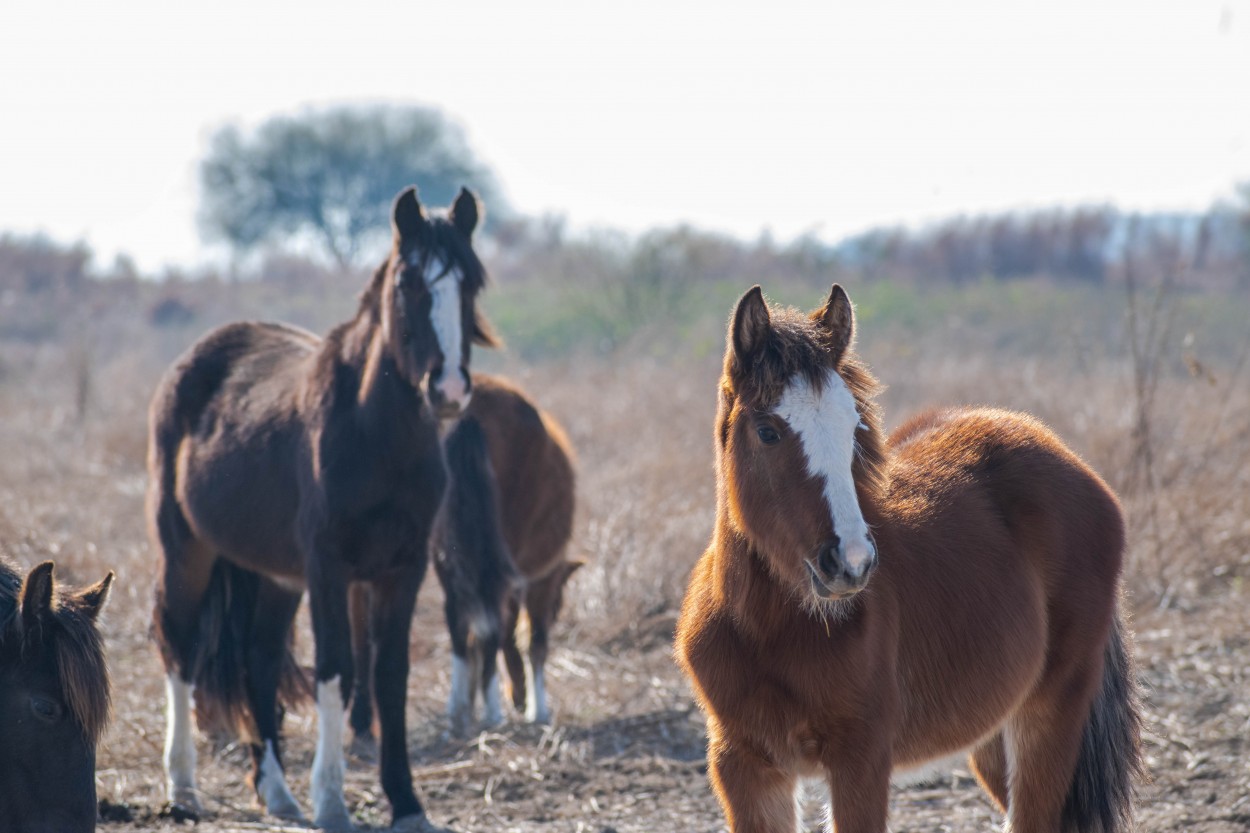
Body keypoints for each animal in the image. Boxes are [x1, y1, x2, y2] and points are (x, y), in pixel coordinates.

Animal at [148, 186, 495, 830]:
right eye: (408, 282)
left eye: (471, 284)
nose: (449, 391)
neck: (376, 436)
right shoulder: (329, 567)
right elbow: (337, 669)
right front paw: (332, 799)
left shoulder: (403, 568)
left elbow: (389, 674)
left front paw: (405, 801)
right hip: (185, 548)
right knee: (178, 645)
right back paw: (183, 787)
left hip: (273, 574)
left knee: (258, 660)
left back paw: (277, 793)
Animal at [347, 372, 580, 735]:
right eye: (558, 604)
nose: (518, 697)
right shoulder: (541, 580)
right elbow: (532, 641)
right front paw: (537, 709)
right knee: (490, 620)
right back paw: (491, 711)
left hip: (442, 548)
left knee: (454, 619)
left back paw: (454, 709)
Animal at [675, 283, 1145, 830]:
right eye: (768, 431)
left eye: (854, 426)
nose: (852, 563)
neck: (766, 631)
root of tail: (1069, 459)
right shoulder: (743, 765)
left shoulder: (861, 759)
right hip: (991, 734)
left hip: (1050, 714)